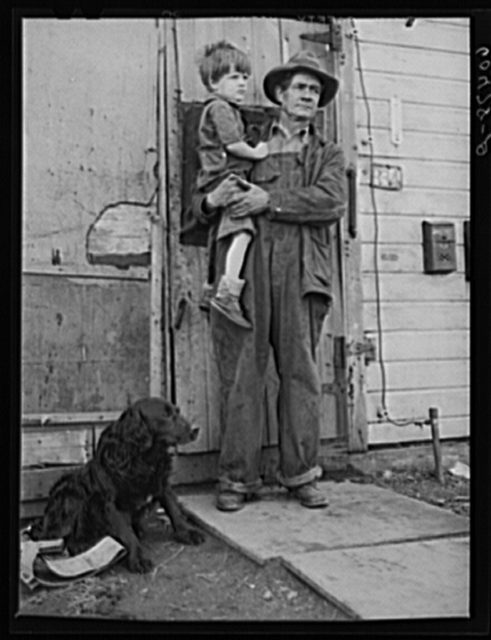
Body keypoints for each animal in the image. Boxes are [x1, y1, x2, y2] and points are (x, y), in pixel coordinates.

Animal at [29, 398, 206, 572]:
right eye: (166, 415)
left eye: (178, 411)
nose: (196, 429)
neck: (143, 458)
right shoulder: (111, 504)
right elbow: (127, 533)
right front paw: (138, 558)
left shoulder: (162, 483)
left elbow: (174, 509)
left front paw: (187, 532)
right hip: (70, 489)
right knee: (62, 536)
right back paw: (83, 545)